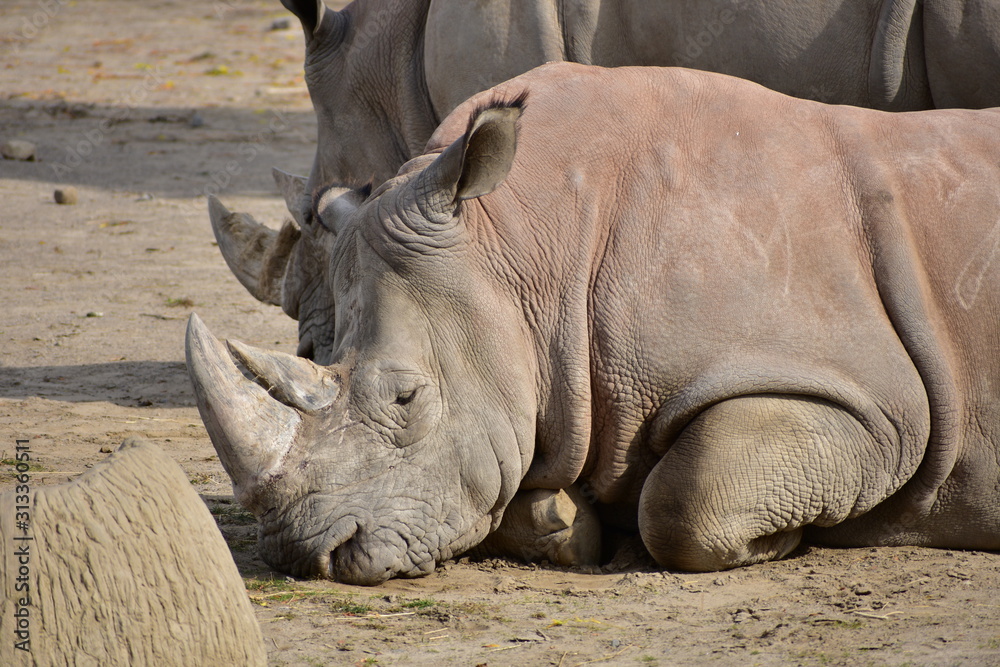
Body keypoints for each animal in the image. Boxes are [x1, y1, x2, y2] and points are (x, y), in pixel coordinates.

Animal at [188, 62, 1000, 585]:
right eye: (306, 346)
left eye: (407, 398)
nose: (303, 555)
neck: (523, 245)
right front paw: (557, 519)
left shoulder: (878, 407)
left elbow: (684, 499)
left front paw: (787, 539)